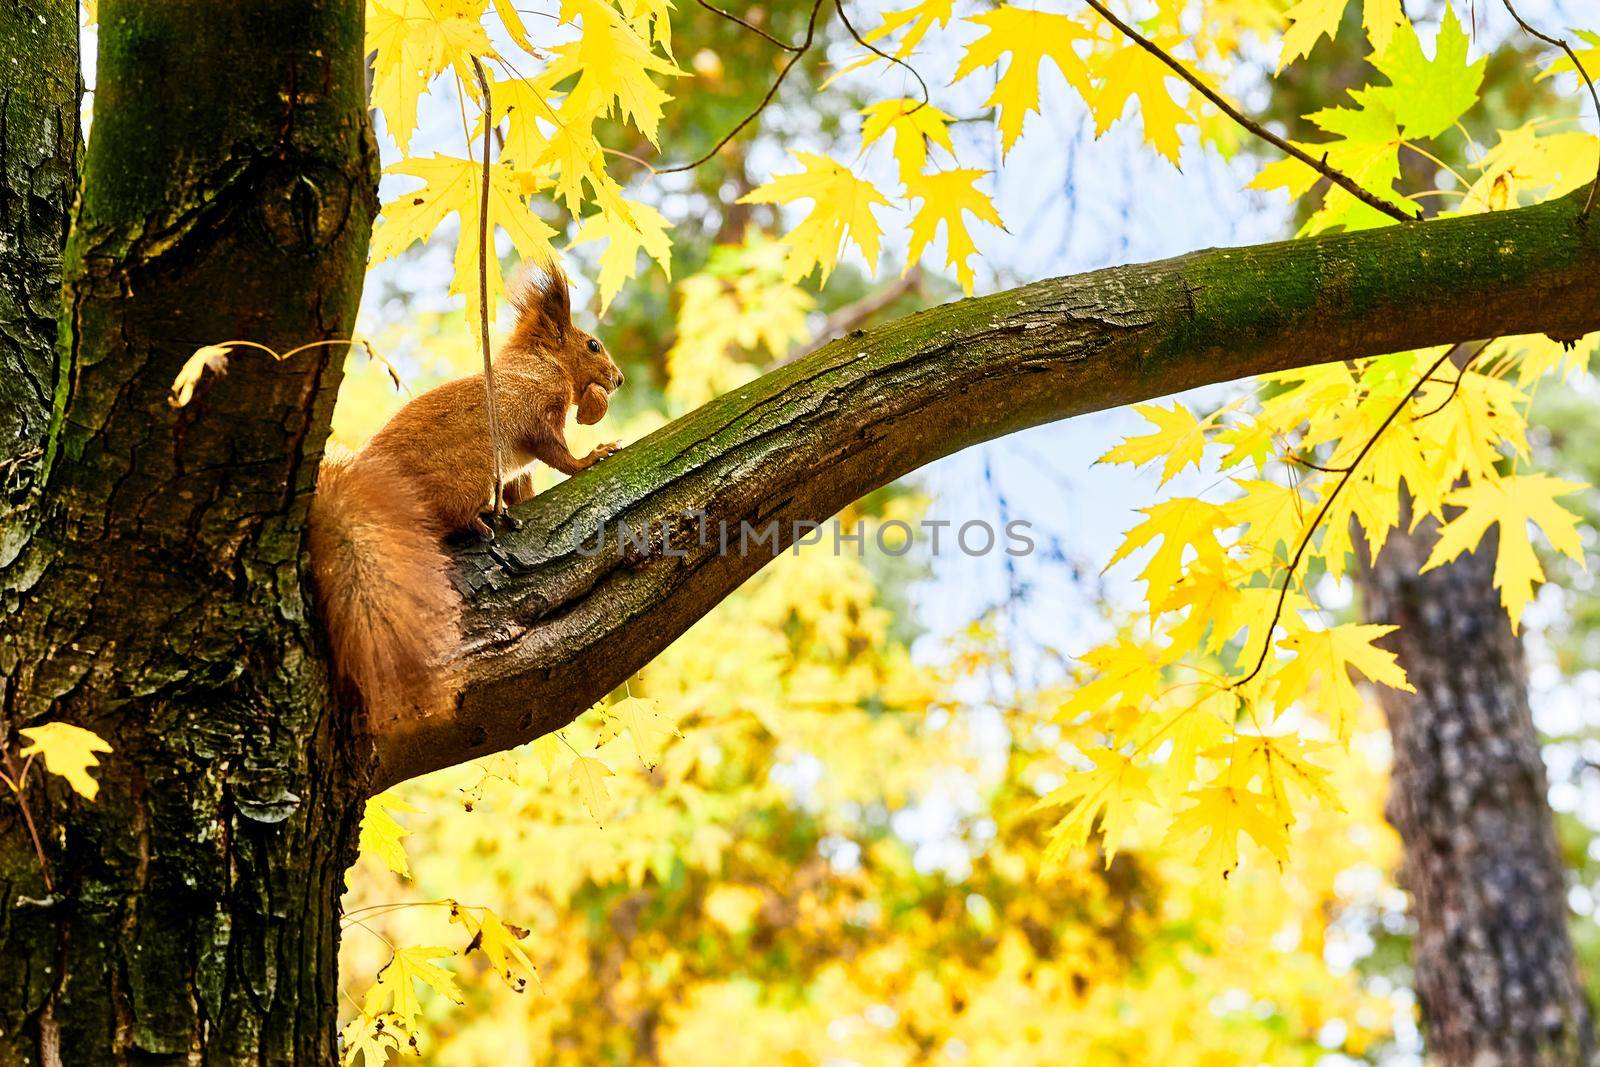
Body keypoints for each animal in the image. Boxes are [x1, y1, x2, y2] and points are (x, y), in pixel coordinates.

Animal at [308, 271, 620, 729]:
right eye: (593, 345)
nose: (619, 379)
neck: (539, 366)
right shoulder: (537, 412)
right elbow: (558, 454)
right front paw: (591, 457)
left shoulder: (517, 469)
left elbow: (522, 485)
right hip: (467, 477)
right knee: (447, 520)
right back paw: (478, 521)